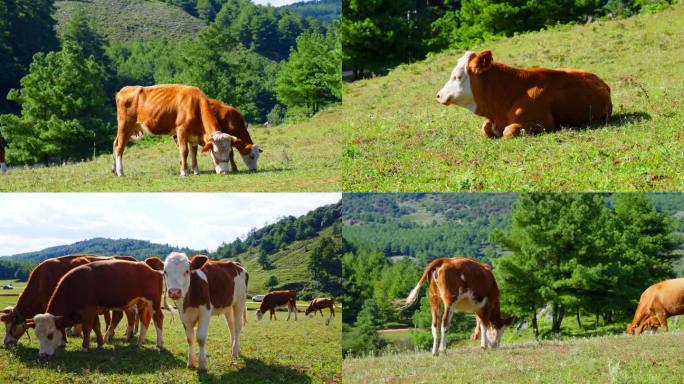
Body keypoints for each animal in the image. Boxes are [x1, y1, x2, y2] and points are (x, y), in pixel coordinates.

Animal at [0, 254, 140, 346]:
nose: (6, 343)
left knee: (127, 315)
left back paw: (122, 335)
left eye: (11, 327)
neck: (41, 281)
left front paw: (63, 340)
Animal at [25, 258, 166, 356]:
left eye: (50, 335)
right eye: (37, 335)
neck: (72, 286)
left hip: (154, 302)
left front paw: (85, 347)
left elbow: (87, 328)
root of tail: (151, 268)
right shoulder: (94, 311)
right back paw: (139, 342)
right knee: (144, 320)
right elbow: (96, 326)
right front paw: (100, 343)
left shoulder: (88, 310)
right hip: (141, 302)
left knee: (158, 318)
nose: (42, 355)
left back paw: (159, 343)